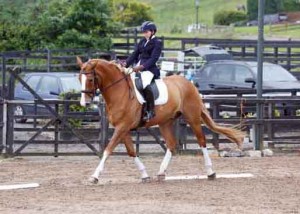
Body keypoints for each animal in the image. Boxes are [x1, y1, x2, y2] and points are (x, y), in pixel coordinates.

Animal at [77, 57, 244, 183]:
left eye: (90, 79)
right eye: (79, 78)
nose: (84, 103)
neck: (119, 91)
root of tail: (188, 83)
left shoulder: (122, 127)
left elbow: (107, 150)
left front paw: (94, 176)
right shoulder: (122, 128)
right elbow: (131, 151)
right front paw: (144, 175)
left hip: (193, 118)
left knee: (201, 141)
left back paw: (210, 172)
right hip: (165, 122)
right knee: (171, 144)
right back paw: (161, 172)